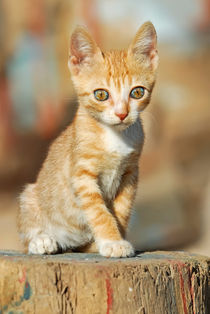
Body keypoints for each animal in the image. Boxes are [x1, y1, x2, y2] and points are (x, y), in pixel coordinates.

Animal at [18, 22, 158, 258]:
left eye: (137, 92)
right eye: (101, 95)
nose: (122, 114)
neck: (114, 135)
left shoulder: (130, 174)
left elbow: (121, 212)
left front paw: (116, 238)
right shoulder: (83, 176)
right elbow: (100, 213)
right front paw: (112, 241)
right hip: (29, 195)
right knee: (28, 230)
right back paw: (42, 241)